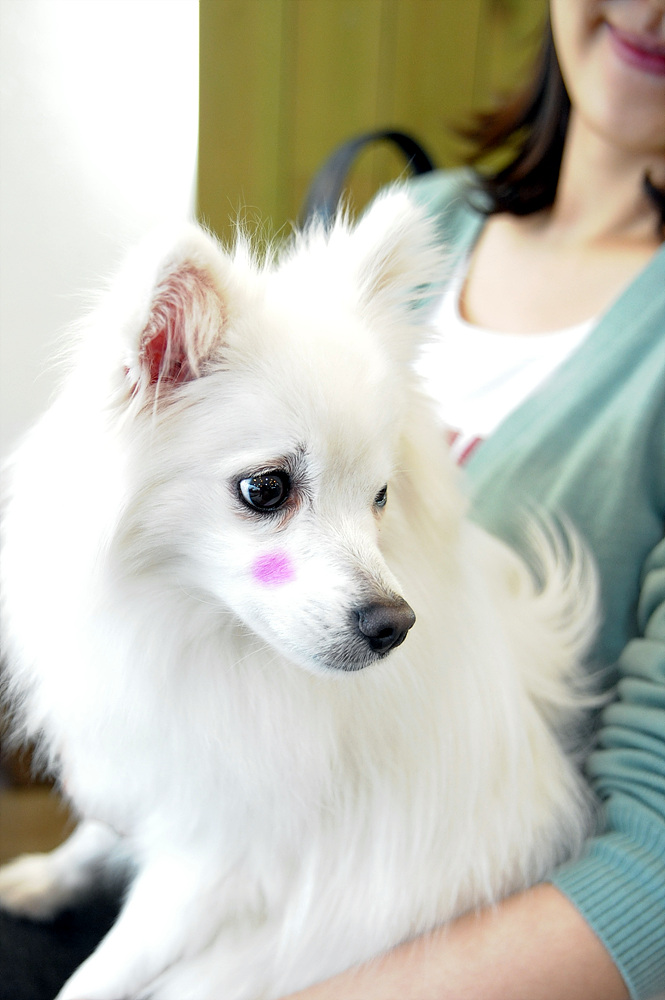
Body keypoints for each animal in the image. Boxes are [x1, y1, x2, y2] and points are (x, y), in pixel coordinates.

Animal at [0, 190, 598, 1000]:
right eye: (265, 489)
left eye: (380, 498)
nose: (395, 622)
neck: (196, 632)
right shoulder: (166, 773)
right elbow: (96, 836)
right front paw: (44, 875)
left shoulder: (217, 865)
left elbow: (107, 971)